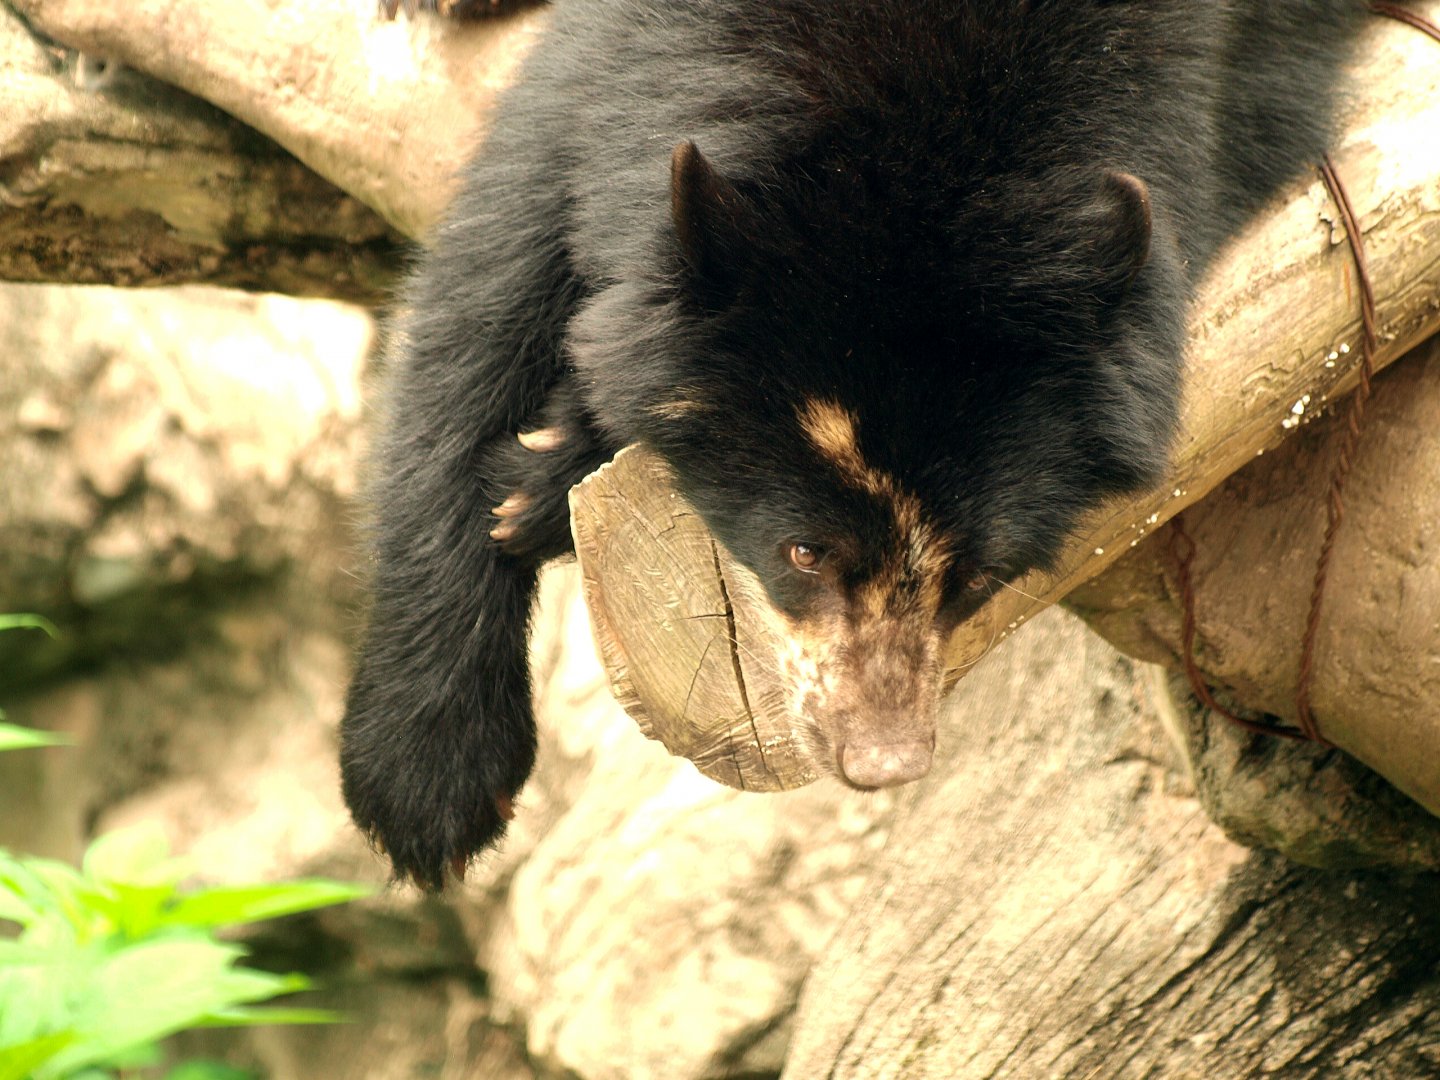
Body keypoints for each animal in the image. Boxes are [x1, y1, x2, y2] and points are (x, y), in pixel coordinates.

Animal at [342, 0, 1369, 888]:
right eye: (804, 551)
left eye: (979, 577)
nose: (881, 760)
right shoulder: (620, 68)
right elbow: (484, 292)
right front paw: (426, 793)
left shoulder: (1234, 74)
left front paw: (547, 466)